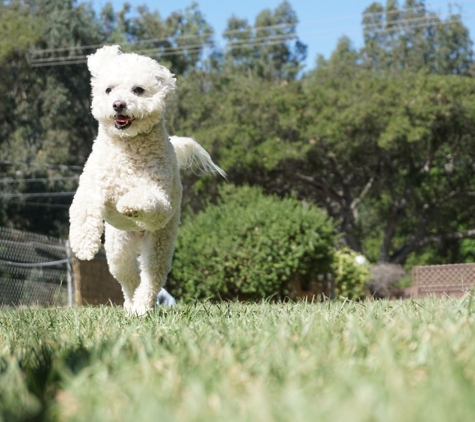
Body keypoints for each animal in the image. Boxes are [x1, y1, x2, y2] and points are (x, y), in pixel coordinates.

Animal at [69, 47, 226, 316]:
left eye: (138, 90)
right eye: (109, 89)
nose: (118, 104)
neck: (128, 146)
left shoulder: (160, 198)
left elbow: (148, 199)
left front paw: (129, 205)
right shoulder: (92, 186)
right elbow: (83, 209)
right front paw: (83, 246)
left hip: (160, 243)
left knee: (151, 278)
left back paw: (143, 306)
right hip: (119, 248)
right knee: (129, 278)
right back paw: (132, 305)